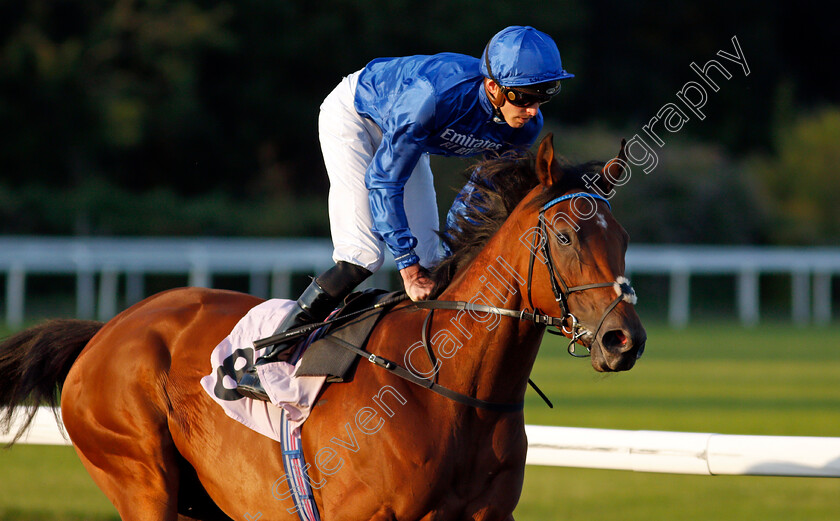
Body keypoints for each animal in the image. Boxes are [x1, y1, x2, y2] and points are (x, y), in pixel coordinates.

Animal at [0, 135, 648, 520]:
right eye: (565, 235)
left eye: (623, 237)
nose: (625, 339)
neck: (448, 388)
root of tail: (105, 330)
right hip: (141, 481)